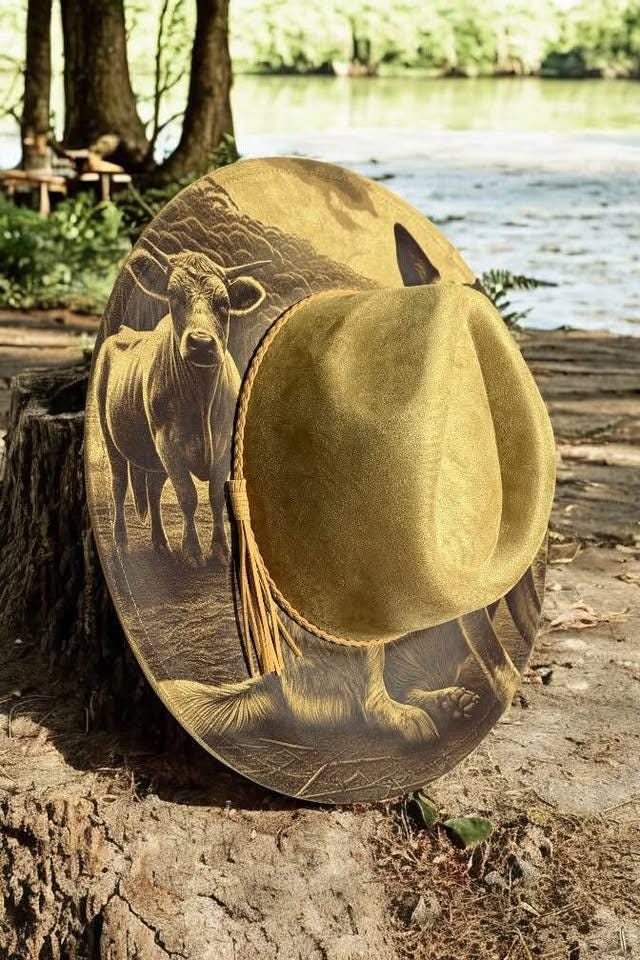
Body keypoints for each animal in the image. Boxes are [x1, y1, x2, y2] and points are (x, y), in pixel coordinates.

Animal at [93, 250, 265, 567]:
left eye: (224, 304)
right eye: (174, 297)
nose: (201, 343)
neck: (202, 398)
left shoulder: (222, 447)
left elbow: (215, 496)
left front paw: (220, 550)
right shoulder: (168, 443)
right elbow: (187, 495)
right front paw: (193, 551)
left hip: (153, 456)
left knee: (153, 489)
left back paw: (160, 543)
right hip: (110, 437)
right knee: (119, 484)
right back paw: (120, 542)